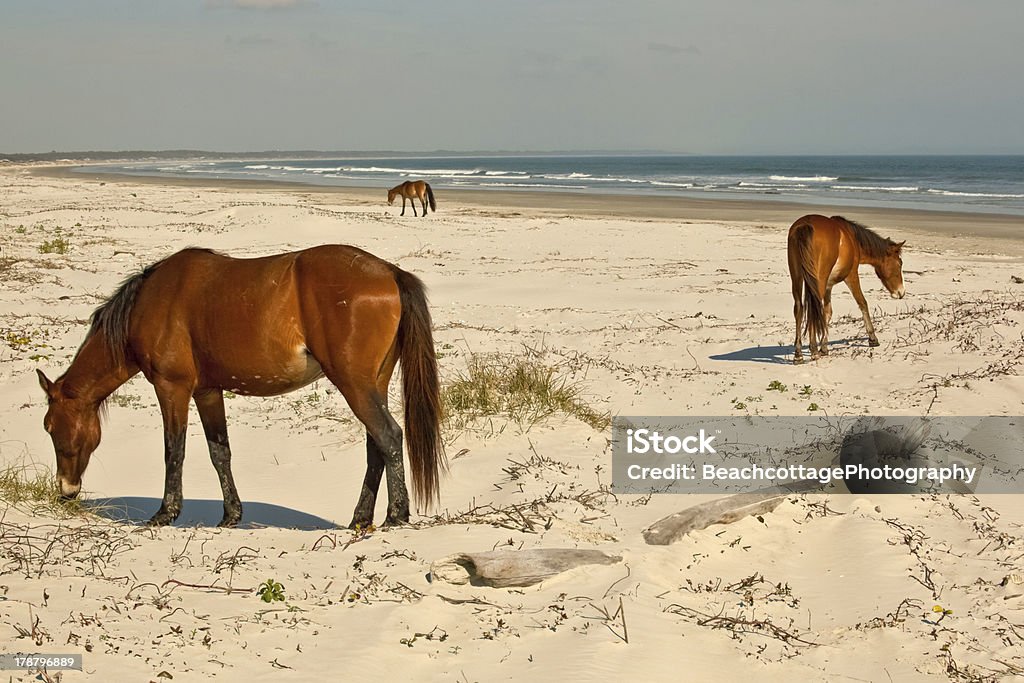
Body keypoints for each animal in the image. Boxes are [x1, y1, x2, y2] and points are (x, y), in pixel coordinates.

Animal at [35, 245, 444, 528]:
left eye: (50, 428)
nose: (66, 490)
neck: (151, 303)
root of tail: (389, 272)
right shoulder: (207, 391)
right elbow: (220, 453)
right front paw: (231, 514)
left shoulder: (172, 388)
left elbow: (174, 451)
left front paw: (166, 513)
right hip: (373, 383)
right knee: (377, 446)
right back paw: (360, 518)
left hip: (354, 384)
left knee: (388, 436)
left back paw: (396, 515)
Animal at [786, 214, 909, 362]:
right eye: (900, 263)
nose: (901, 292)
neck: (852, 239)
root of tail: (806, 224)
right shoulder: (851, 276)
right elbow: (862, 303)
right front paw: (872, 338)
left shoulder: (828, 285)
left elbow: (827, 312)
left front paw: (824, 348)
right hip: (818, 281)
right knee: (813, 308)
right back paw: (813, 350)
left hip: (797, 278)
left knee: (799, 308)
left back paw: (799, 354)